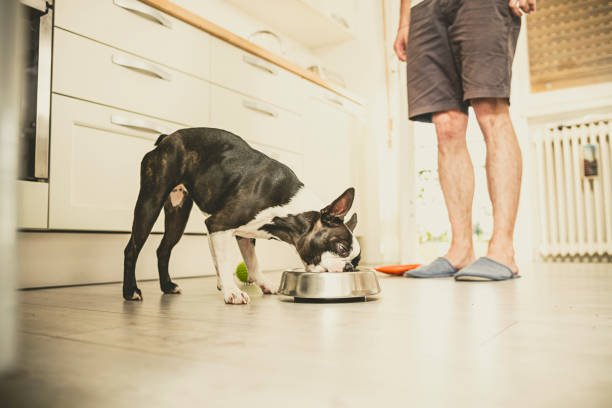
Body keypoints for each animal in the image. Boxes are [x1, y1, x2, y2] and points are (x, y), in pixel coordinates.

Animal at [125, 127, 364, 302]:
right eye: (341, 248)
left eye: (357, 260)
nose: (350, 267)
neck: (288, 210)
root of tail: (166, 138)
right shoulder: (218, 225)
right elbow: (225, 262)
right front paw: (231, 291)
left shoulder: (244, 235)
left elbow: (253, 263)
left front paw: (264, 285)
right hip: (150, 202)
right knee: (132, 248)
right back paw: (130, 291)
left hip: (178, 214)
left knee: (163, 249)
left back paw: (167, 286)